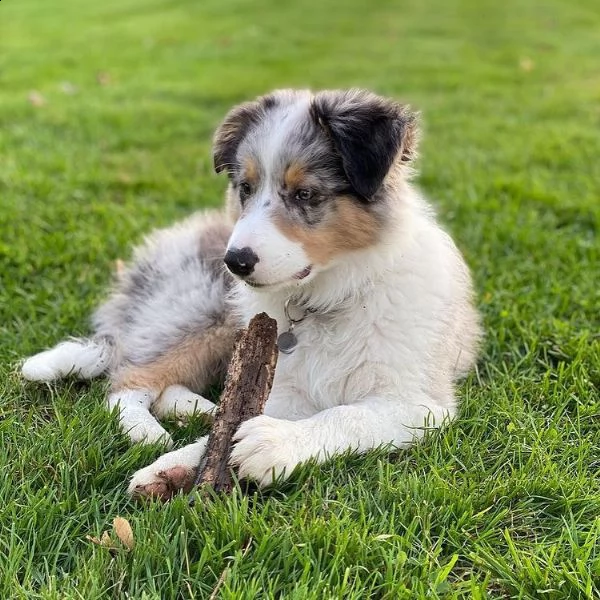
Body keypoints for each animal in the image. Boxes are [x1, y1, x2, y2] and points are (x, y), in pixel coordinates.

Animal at [24, 89, 482, 500]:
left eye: (305, 194)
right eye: (244, 188)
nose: (235, 262)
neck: (329, 297)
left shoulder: (417, 402)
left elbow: (348, 415)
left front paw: (273, 443)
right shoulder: (286, 385)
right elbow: (227, 433)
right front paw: (173, 465)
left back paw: (202, 411)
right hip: (206, 316)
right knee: (129, 380)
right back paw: (151, 431)